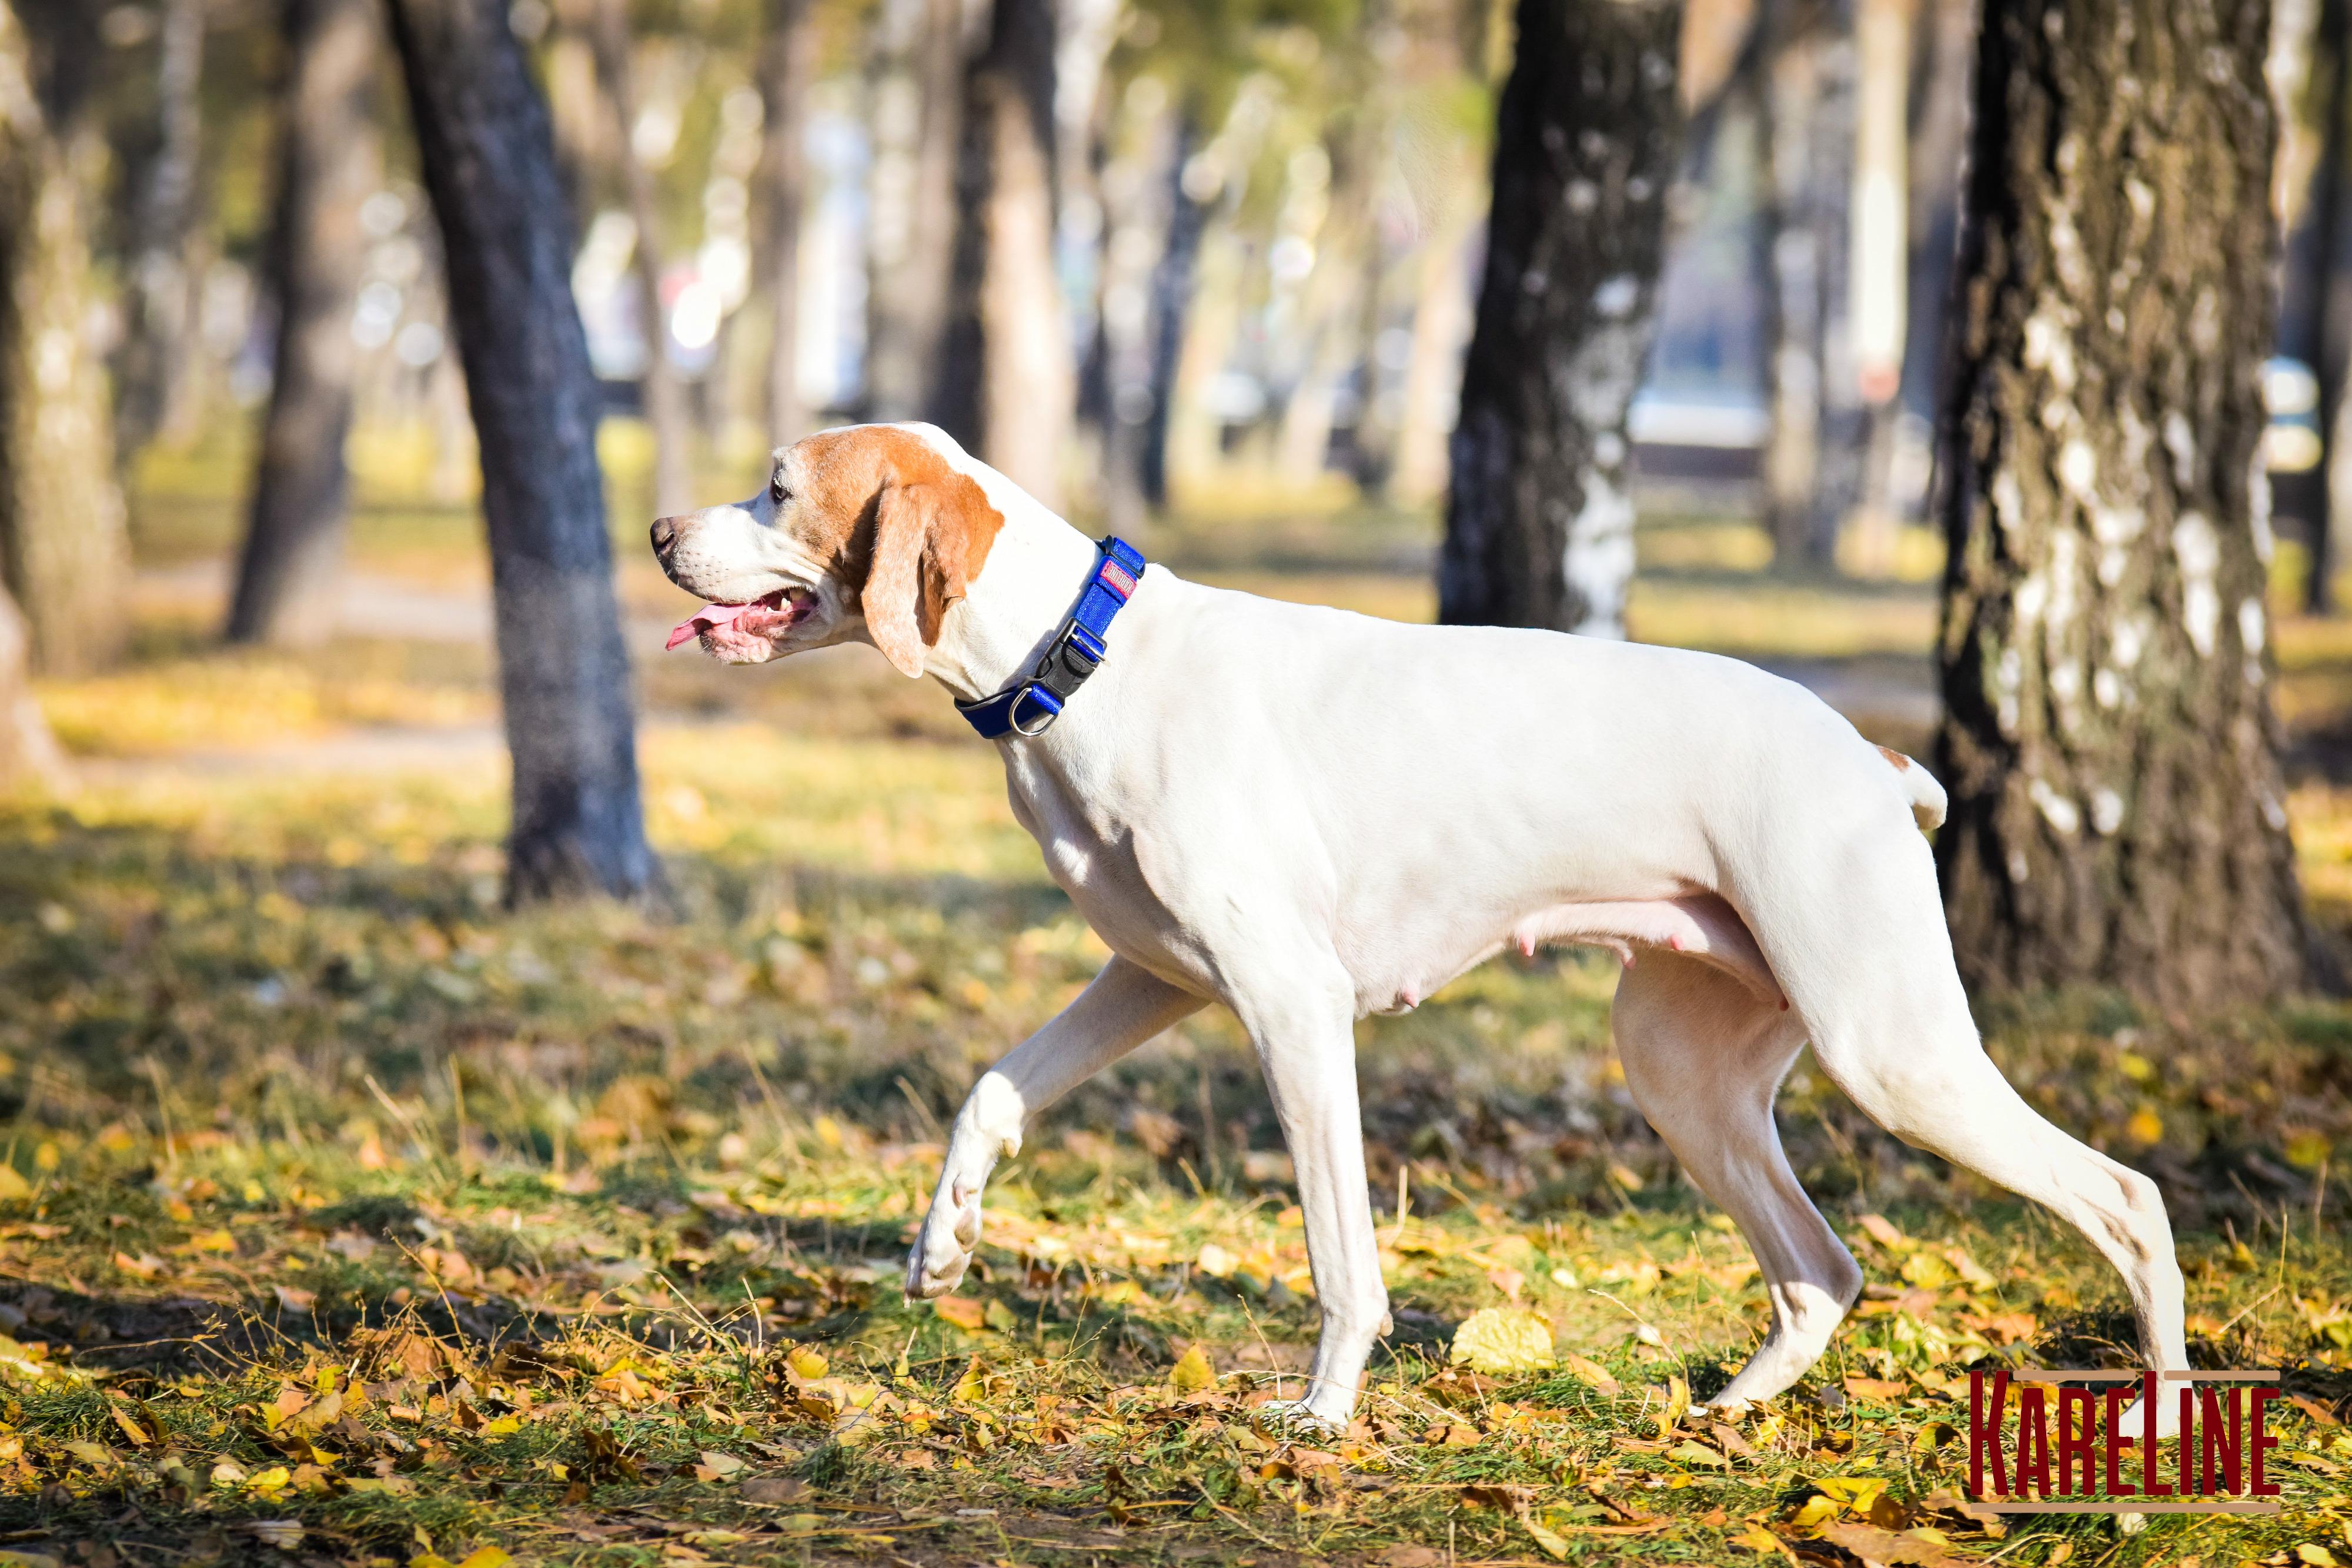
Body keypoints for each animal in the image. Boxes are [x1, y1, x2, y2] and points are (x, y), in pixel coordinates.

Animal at [649, 416, 2183, 1439]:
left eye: (776, 486)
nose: (660, 533)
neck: (1081, 659)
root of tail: (1875, 761)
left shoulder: (1289, 1009)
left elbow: (1340, 1257)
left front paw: (1322, 1413)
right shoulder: (1150, 977)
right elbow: (987, 1091)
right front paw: (944, 1244)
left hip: (1890, 1050)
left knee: (2125, 1200)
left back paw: (2160, 1420)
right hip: (1684, 1074)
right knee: (1821, 1269)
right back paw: (1720, 1414)